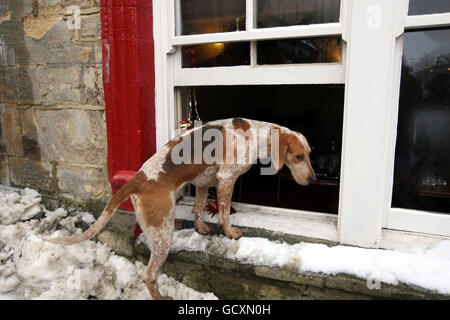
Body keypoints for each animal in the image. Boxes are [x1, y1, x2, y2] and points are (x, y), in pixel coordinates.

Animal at [48, 118, 316, 300]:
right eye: (299, 157)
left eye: (310, 154)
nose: (314, 180)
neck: (254, 134)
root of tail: (137, 179)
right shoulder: (226, 180)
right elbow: (224, 213)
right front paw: (230, 233)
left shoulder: (204, 182)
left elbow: (198, 209)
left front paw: (200, 227)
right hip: (163, 236)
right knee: (150, 275)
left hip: (158, 228)